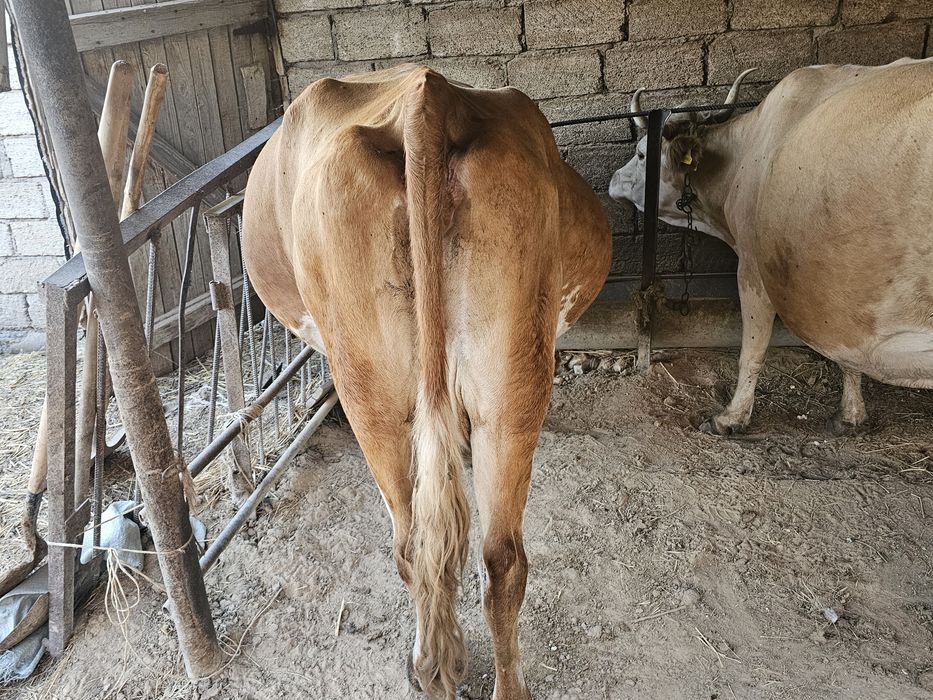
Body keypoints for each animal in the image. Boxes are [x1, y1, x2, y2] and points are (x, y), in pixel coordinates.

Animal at [609, 58, 933, 435]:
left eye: (641, 153)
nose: (613, 180)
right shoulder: (836, 297)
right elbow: (845, 353)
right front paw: (850, 415)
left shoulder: (753, 266)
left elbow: (753, 349)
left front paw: (730, 418)